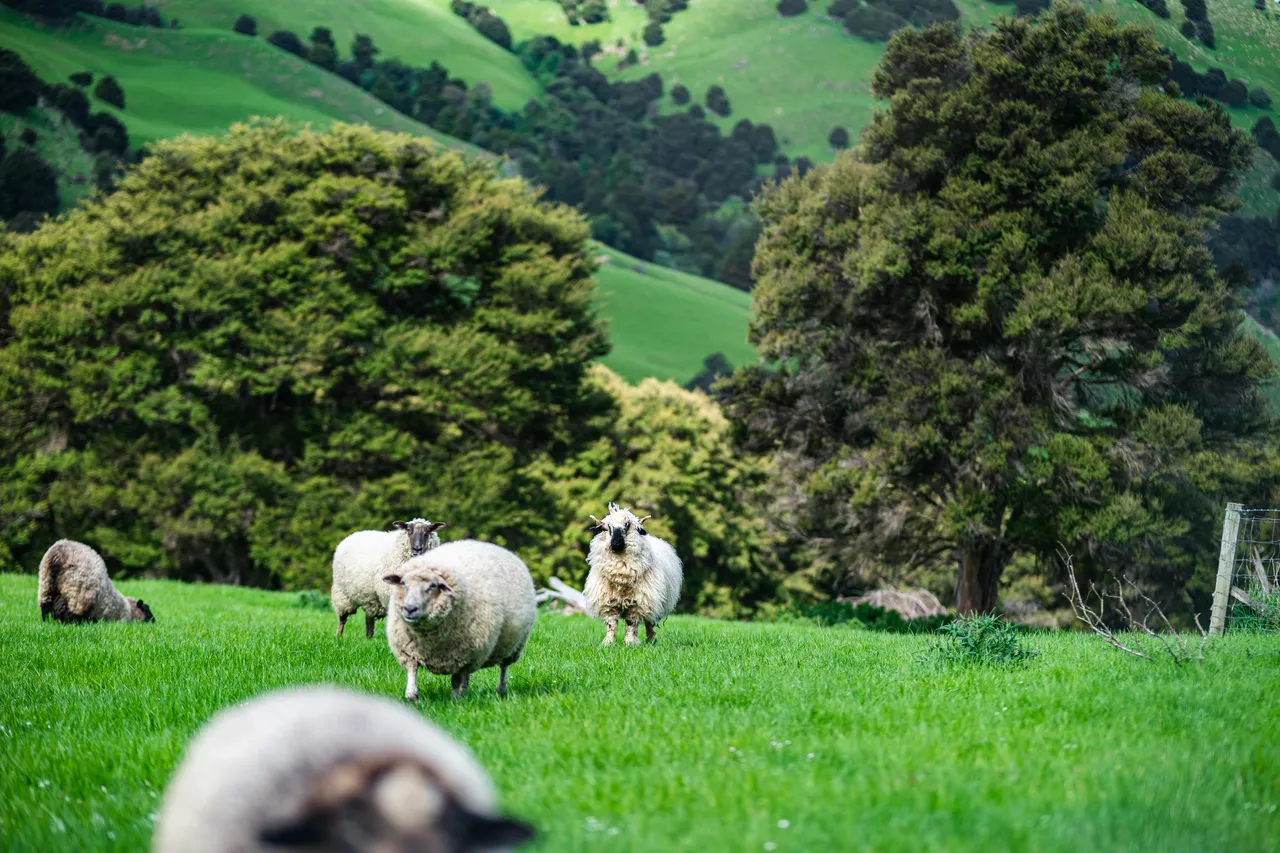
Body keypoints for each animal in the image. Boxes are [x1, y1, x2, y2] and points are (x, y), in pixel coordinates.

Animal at [383, 540, 537, 701]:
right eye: (403, 583)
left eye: (433, 586)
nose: (410, 608)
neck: (429, 638)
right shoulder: (408, 650)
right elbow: (412, 671)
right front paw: (411, 695)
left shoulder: (460, 656)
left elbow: (456, 680)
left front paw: (455, 700)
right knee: (468, 675)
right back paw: (466, 691)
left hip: (512, 646)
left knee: (503, 667)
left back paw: (500, 690)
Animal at [583, 502, 682, 646]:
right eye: (607, 527)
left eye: (627, 525)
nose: (616, 543)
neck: (620, 576)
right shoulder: (608, 602)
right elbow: (611, 624)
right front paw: (607, 644)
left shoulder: (638, 603)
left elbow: (631, 624)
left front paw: (630, 643)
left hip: (651, 599)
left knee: (649, 622)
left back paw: (652, 640)